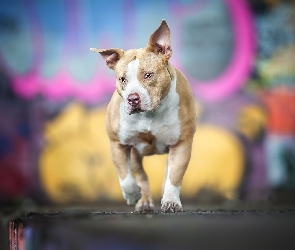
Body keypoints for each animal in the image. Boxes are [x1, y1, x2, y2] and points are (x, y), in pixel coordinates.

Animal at [90, 20, 197, 213]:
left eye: (148, 75)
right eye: (122, 79)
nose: (133, 99)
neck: (149, 115)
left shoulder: (181, 144)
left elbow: (174, 176)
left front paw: (171, 201)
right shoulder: (118, 144)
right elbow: (125, 177)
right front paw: (133, 195)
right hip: (135, 154)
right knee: (140, 175)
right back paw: (143, 200)